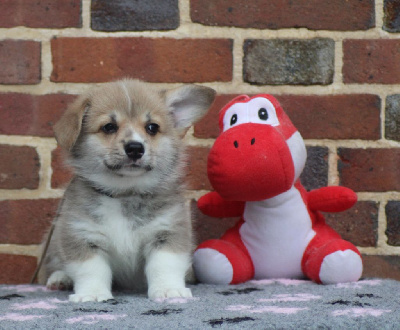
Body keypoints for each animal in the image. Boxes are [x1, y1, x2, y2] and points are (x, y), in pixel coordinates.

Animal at [42, 79, 216, 302]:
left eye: (152, 127)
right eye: (109, 127)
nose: (135, 148)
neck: (124, 193)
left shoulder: (167, 232)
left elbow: (164, 265)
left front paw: (169, 290)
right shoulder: (82, 235)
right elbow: (91, 270)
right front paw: (92, 294)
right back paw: (60, 278)